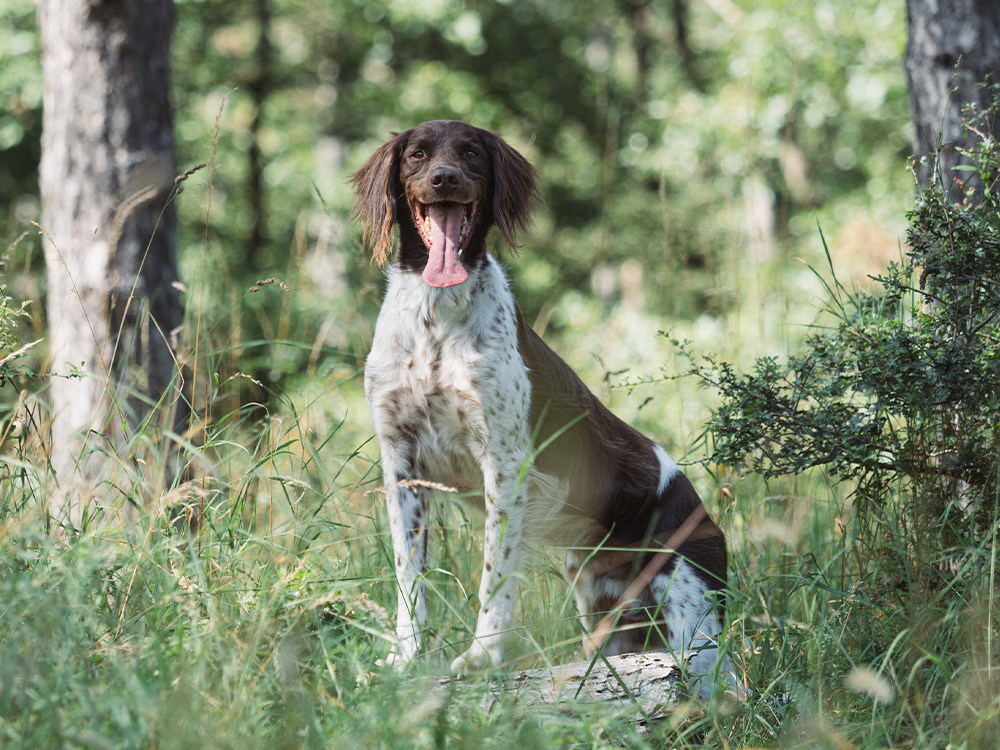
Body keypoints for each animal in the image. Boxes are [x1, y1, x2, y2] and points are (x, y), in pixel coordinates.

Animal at [352, 120, 736, 704]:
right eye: (417, 155)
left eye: (471, 153)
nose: (445, 179)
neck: (435, 321)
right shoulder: (401, 463)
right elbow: (408, 576)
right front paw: (406, 658)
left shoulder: (505, 465)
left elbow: (494, 576)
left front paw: (481, 657)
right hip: (605, 609)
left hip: (691, 613)